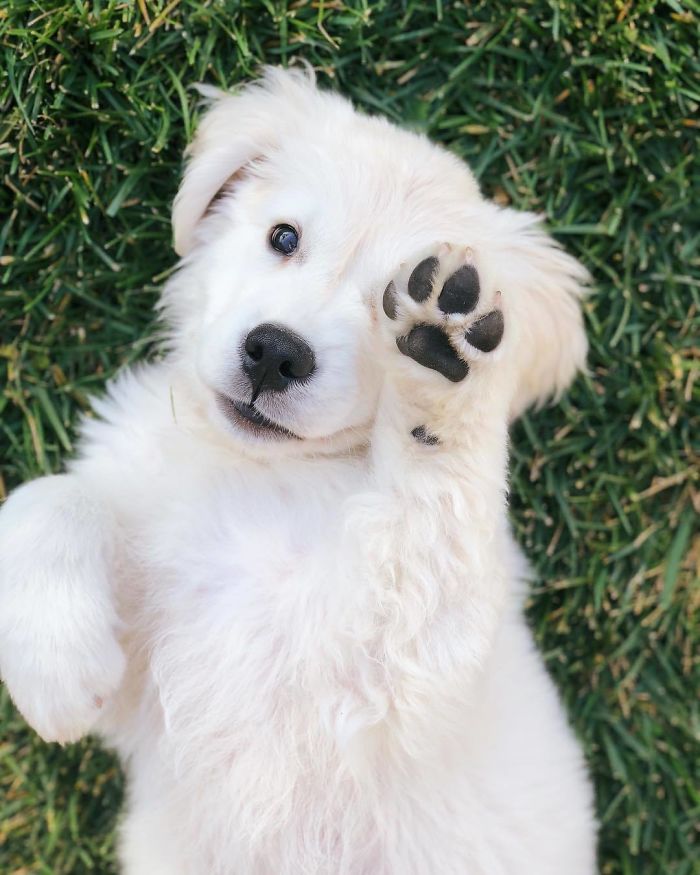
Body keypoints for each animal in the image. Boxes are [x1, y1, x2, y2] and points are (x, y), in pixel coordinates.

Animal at [0, 65, 596, 872]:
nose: (275, 353)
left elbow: (430, 510)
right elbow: (45, 498)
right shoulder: (144, 683)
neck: (261, 469)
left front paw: (447, 357)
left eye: (389, 298)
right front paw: (57, 666)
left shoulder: (397, 670)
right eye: (284, 237)